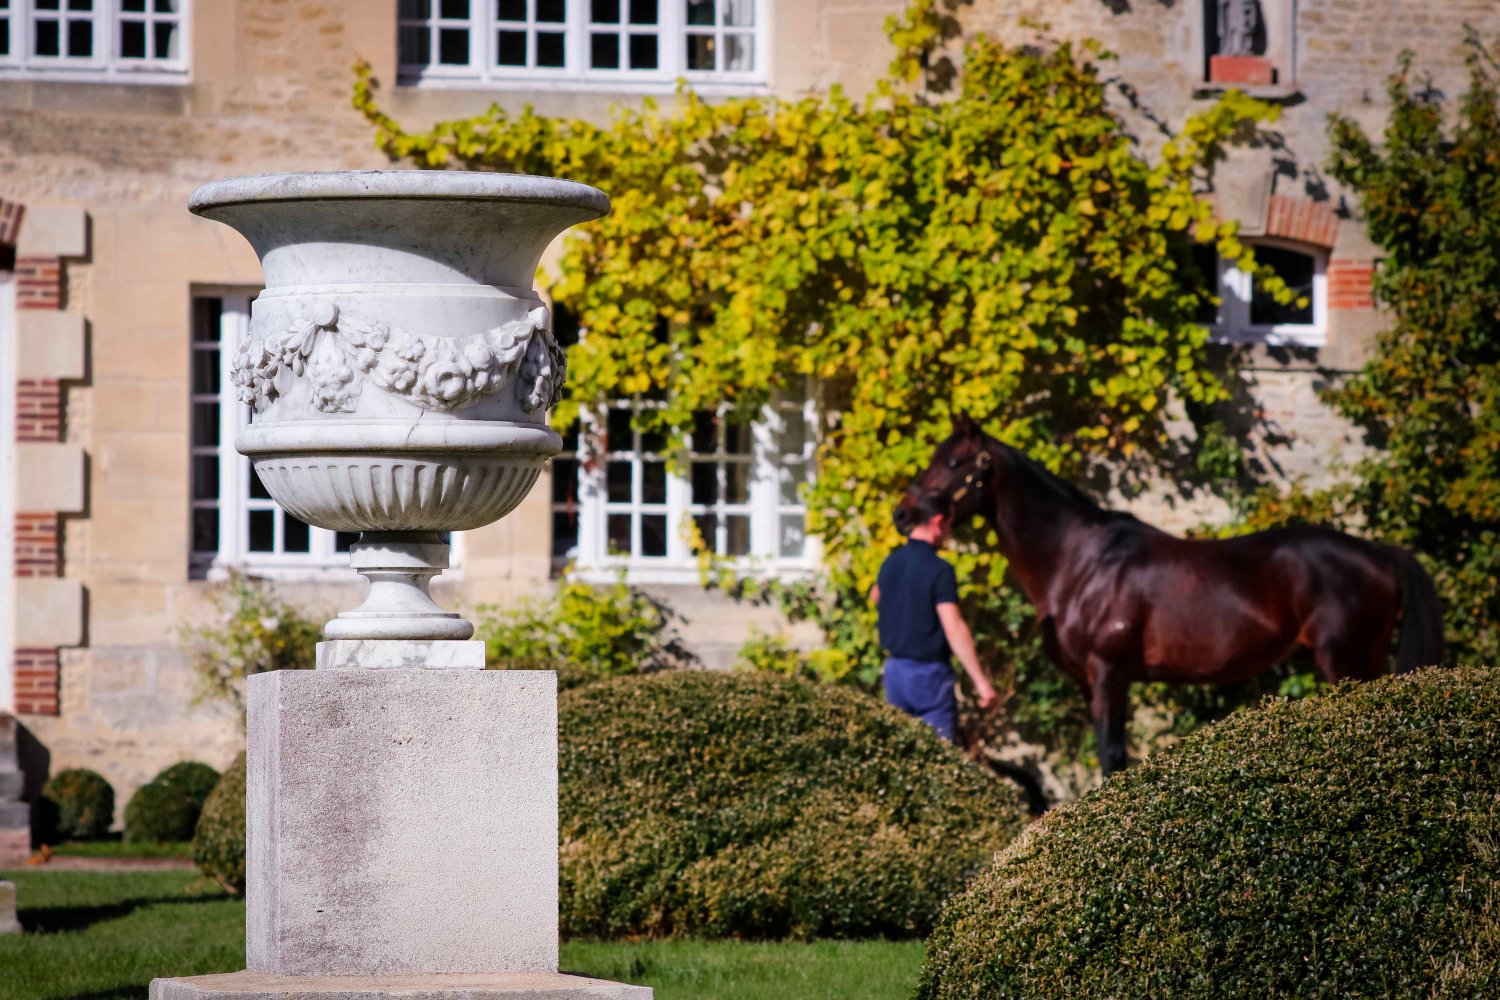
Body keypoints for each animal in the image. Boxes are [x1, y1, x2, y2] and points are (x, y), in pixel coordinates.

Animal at [902, 414, 1445, 776]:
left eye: (953, 461)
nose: (903, 515)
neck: (1079, 562)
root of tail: (1376, 551)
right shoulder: (1090, 683)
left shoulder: (1110, 673)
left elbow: (1112, 756)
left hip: (1343, 660)